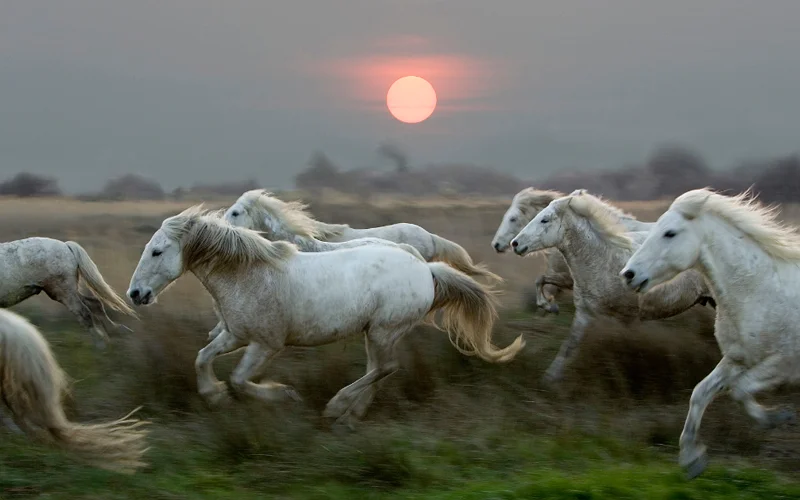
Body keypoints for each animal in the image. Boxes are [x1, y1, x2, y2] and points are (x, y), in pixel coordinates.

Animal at [0, 237, 136, 349]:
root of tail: (66, 246)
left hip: (63, 292)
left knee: (84, 312)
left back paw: (100, 343)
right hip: (67, 291)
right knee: (95, 303)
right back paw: (117, 330)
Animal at [127, 206, 524, 428]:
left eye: (157, 251)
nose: (135, 294)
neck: (249, 274)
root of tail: (426, 269)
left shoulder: (266, 344)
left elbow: (239, 380)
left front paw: (284, 396)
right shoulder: (235, 335)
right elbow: (201, 358)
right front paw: (214, 396)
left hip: (383, 330)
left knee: (385, 368)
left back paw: (336, 407)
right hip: (375, 333)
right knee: (380, 370)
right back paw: (350, 415)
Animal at [492, 187, 653, 313]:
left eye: (512, 218)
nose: (497, 244)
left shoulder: (567, 279)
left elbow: (541, 281)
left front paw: (548, 306)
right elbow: (541, 280)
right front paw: (548, 307)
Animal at [509, 190, 715, 385]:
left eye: (545, 219)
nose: (515, 244)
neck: (601, 258)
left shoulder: (623, 316)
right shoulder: (585, 312)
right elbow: (569, 345)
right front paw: (549, 379)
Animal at [620, 188, 800, 480]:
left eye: (670, 233)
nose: (628, 274)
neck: (761, 289)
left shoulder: (784, 362)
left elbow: (740, 389)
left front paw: (777, 417)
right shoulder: (736, 359)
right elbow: (700, 393)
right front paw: (692, 459)